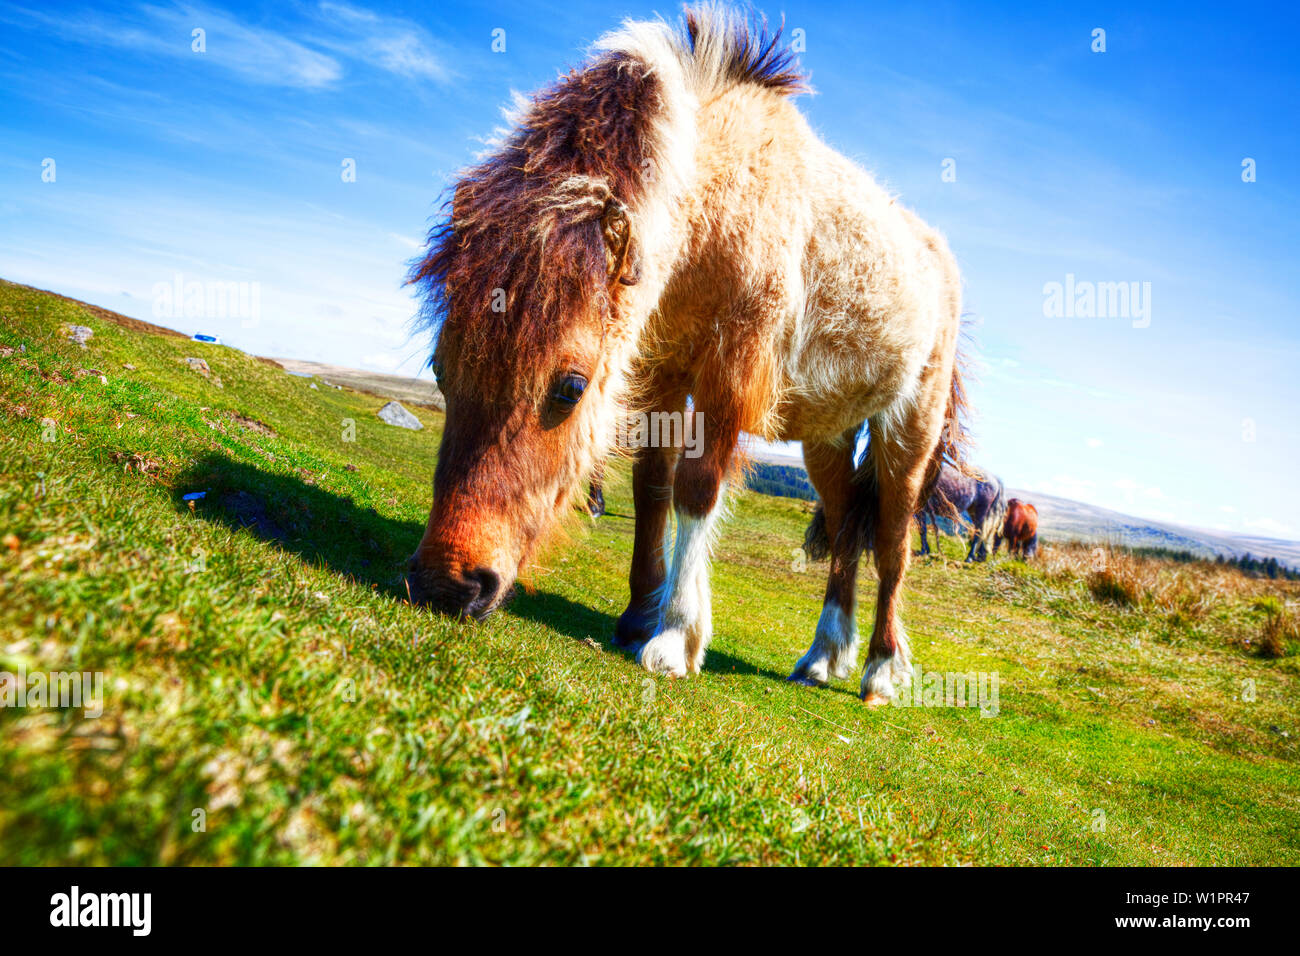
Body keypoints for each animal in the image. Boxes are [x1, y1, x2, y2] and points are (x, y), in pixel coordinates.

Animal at [404, 7, 969, 705]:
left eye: (569, 388)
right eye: (440, 370)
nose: (445, 583)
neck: (718, 198)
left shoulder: (729, 374)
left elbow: (697, 491)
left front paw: (674, 637)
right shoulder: (662, 374)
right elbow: (653, 487)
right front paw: (638, 616)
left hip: (907, 431)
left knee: (892, 540)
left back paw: (881, 669)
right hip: (828, 438)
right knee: (844, 527)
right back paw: (821, 657)